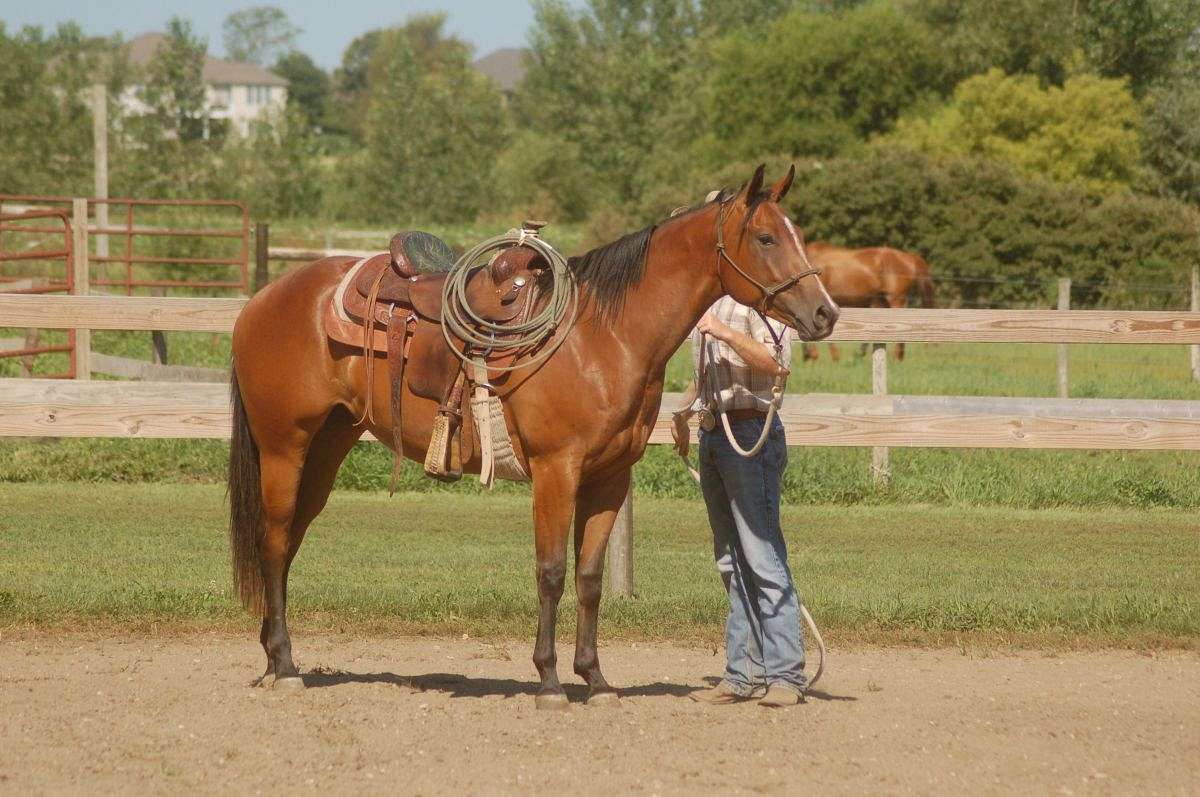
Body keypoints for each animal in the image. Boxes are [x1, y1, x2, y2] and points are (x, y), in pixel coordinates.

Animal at [229, 163, 840, 710]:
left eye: (795, 235)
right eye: (765, 237)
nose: (825, 313)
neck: (601, 335)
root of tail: (262, 300)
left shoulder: (609, 479)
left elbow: (589, 577)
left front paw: (595, 680)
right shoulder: (556, 471)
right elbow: (550, 573)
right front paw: (548, 681)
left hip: (326, 448)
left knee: (288, 542)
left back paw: (272, 659)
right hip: (285, 446)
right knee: (275, 541)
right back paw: (286, 666)